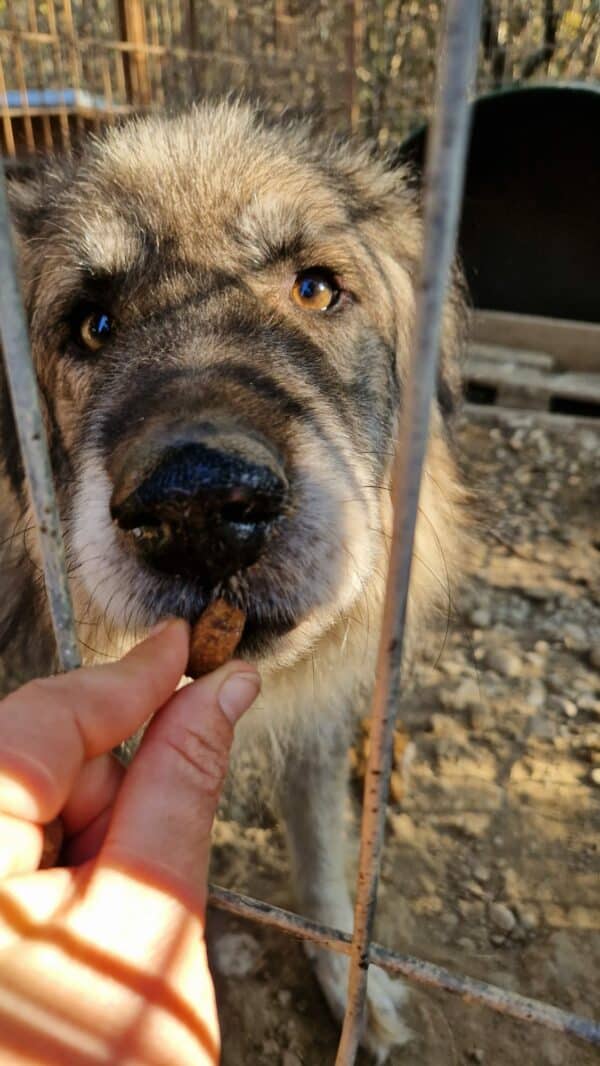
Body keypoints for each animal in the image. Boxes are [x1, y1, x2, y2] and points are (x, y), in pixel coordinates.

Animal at [2, 100, 466, 1057]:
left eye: (315, 288)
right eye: (92, 324)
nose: (200, 505)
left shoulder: (320, 725)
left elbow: (325, 863)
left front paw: (348, 985)